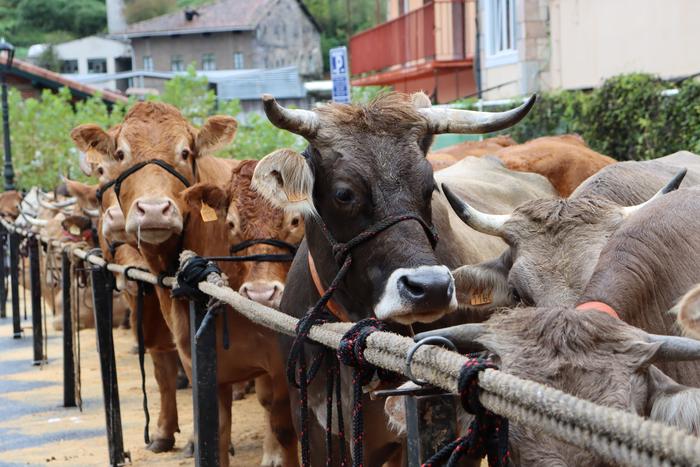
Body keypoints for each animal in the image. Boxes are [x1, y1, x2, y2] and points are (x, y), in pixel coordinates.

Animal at [71, 102, 298, 467]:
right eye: (119, 154)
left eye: (184, 152)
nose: (153, 210)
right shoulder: (180, 344)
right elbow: (173, 383)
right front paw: (168, 435)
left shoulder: (278, 361)